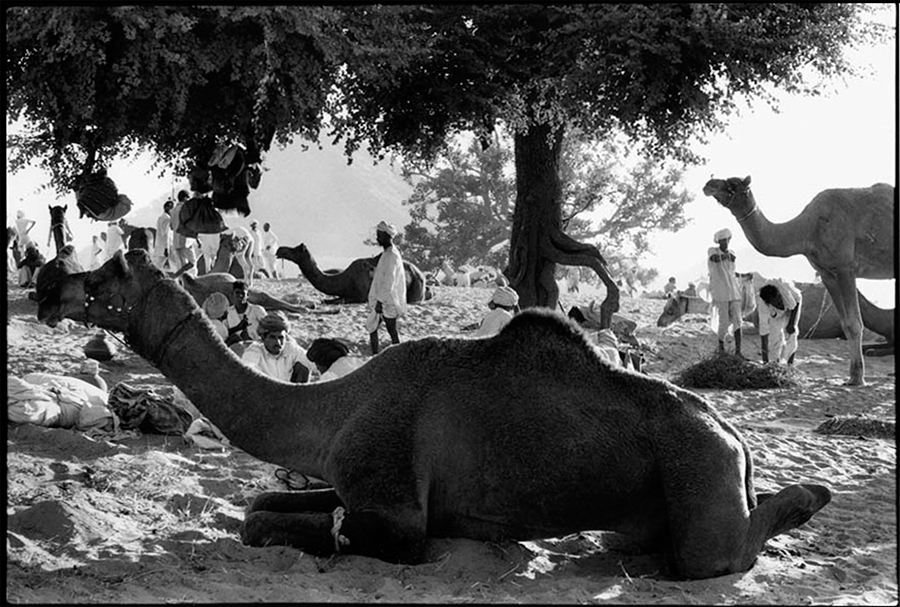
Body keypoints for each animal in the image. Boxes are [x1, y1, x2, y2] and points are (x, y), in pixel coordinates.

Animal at [278, 242, 432, 306]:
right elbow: (328, 300)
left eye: (296, 249)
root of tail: (422, 275)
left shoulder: (362, 296)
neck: (344, 279)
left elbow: (342, 300)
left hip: (417, 287)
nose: (280, 249)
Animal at [708, 176, 896, 384]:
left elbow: (854, 323)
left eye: (732, 184)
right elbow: (846, 323)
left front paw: (857, 379)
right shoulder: (827, 273)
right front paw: (854, 376)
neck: (809, 228)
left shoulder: (845, 268)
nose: (708, 185)